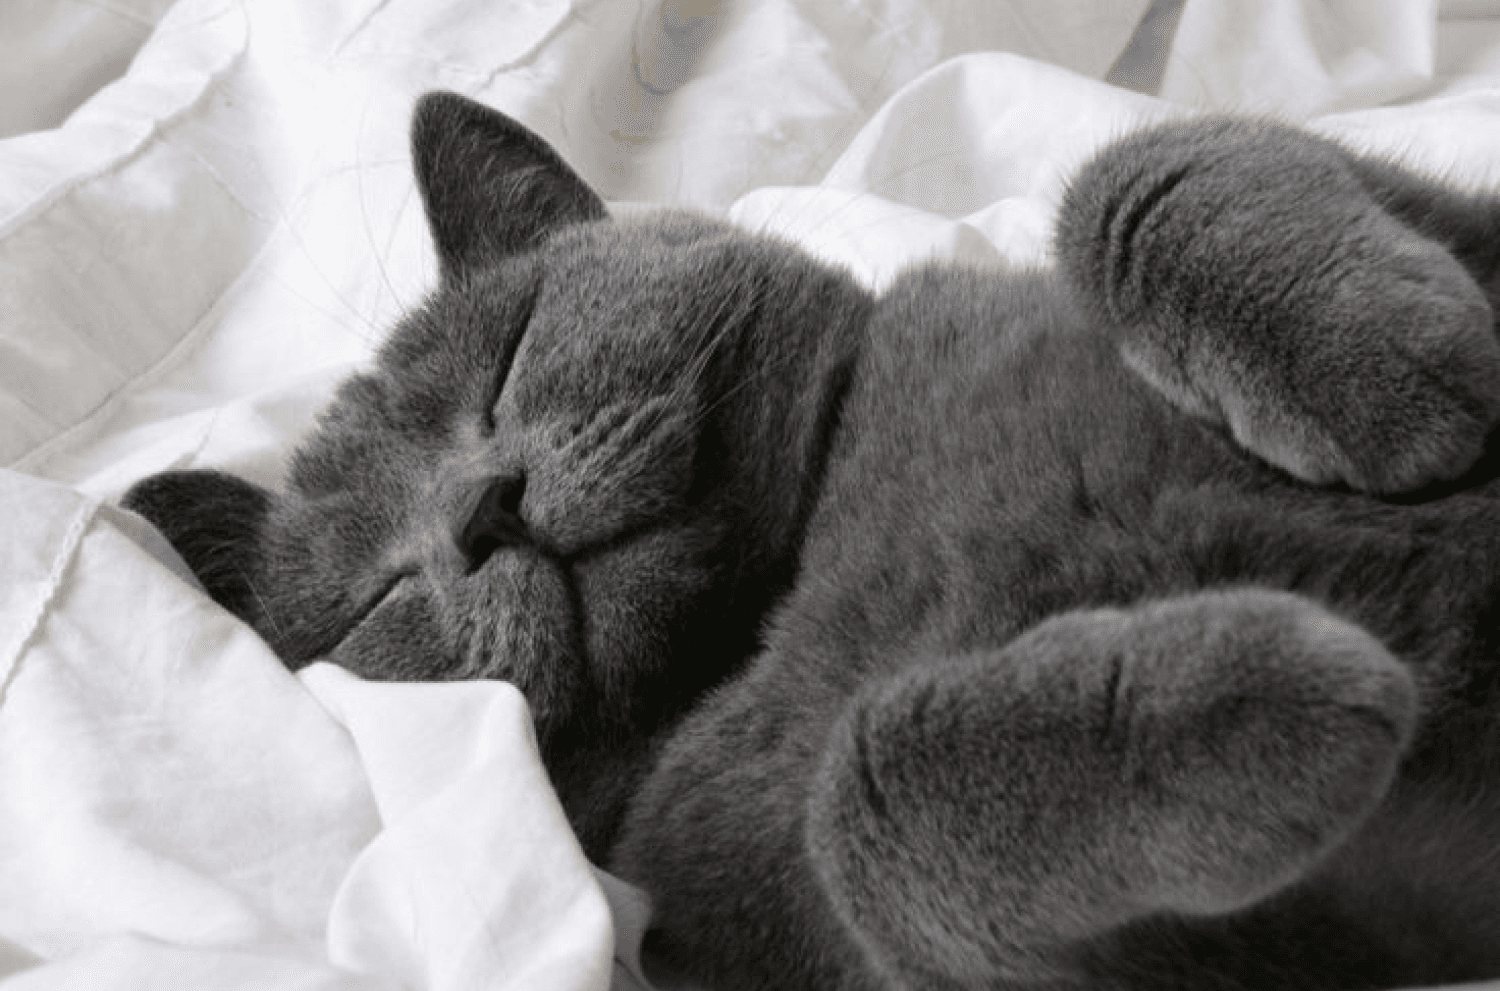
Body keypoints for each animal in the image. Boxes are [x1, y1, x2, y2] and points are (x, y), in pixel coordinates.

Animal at [126, 88, 1500, 983]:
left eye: (510, 358)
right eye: (377, 596)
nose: (477, 511)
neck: (781, 588)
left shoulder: (1460, 217)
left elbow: (1141, 162)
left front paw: (1401, 368)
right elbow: (855, 803)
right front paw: (1280, 701)